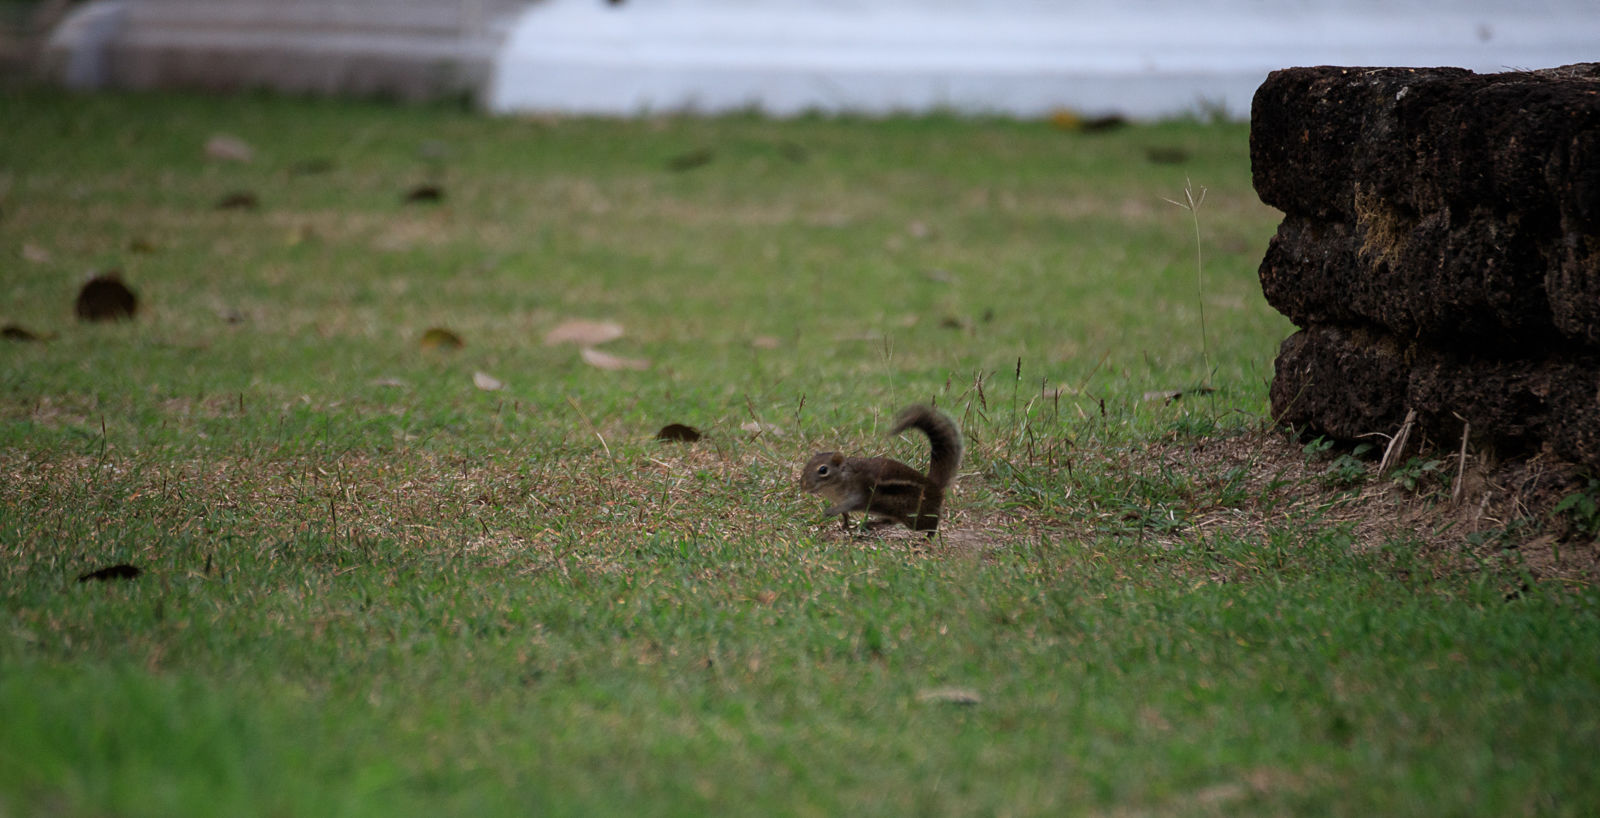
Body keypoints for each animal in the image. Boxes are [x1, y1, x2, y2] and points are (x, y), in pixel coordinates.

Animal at [800, 406, 960, 534]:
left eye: (823, 470)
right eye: (806, 466)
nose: (803, 486)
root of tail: (934, 486)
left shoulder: (859, 493)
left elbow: (851, 504)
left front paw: (830, 512)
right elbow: (845, 514)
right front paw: (844, 525)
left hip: (915, 515)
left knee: (931, 524)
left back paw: (928, 539)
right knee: (890, 521)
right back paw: (870, 524)